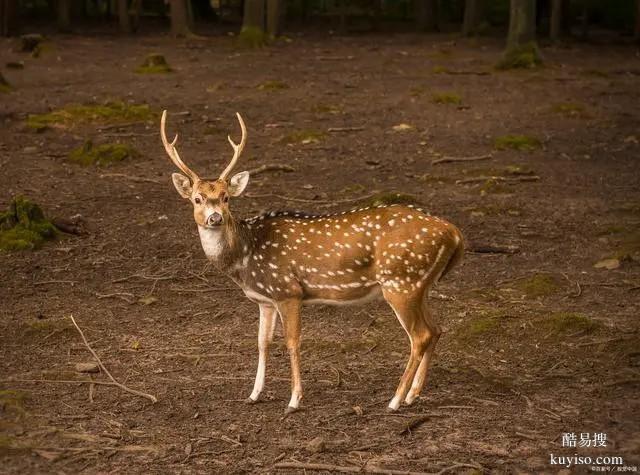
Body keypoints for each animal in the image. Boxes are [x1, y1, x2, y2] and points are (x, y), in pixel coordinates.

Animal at [158, 109, 462, 414]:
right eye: (197, 199)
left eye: (225, 198)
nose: (215, 217)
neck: (245, 257)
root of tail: (454, 233)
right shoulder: (264, 300)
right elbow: (262, 343)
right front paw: (254, 394)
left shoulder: (288, 291)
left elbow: (292, 342)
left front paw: (294, 400)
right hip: (420, 285)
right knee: (436, 330)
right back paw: (412, 395)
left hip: (400, 282)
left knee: (420, 336)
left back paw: (396, 400)